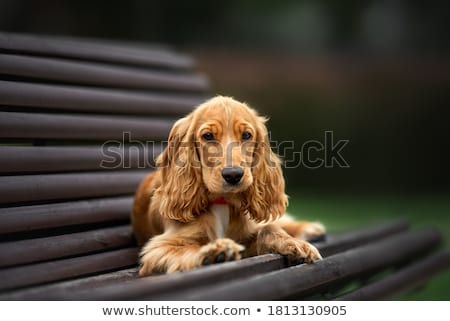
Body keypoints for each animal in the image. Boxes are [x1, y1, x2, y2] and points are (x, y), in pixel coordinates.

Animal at [132, 95, 326, 276]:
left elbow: (269, 228)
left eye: (246, 135)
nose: (233, 175)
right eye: (208, 136)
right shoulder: (159, 248)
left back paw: (308, 228)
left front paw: (296, 244)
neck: (222, 202)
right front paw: (213, 252)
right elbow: (186, 249)